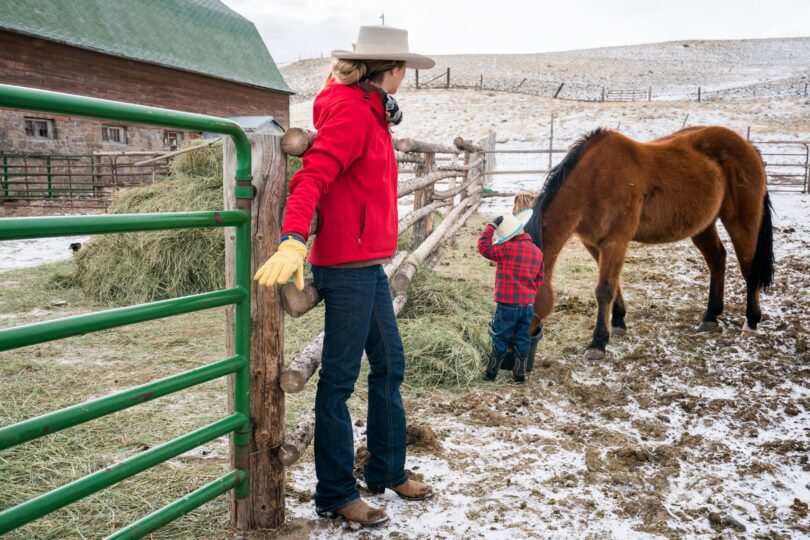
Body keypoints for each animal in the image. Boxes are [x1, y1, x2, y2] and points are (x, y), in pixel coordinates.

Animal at [520, 126, 772, 360]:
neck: (593, 181)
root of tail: (749, 147)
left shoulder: (615, 242)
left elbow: (604, 290)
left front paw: (598, 343)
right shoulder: (594, 244)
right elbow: (614, 284)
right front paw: (618, 321)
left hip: (742, 223)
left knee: (748, 268)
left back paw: (751, 321)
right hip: (703, 226)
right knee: (717, 259)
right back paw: (710, 317)